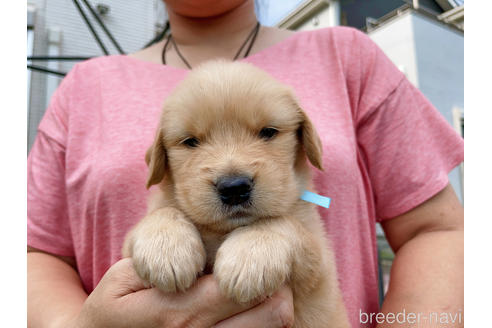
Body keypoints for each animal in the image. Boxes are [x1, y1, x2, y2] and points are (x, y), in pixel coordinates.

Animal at [125, 60, 352, 326]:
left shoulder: (321, 268)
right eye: (190, 141)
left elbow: (280, 222)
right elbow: (163, 212)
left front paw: (249, 257)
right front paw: (165, 250)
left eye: (268, 132)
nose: (234, 188)